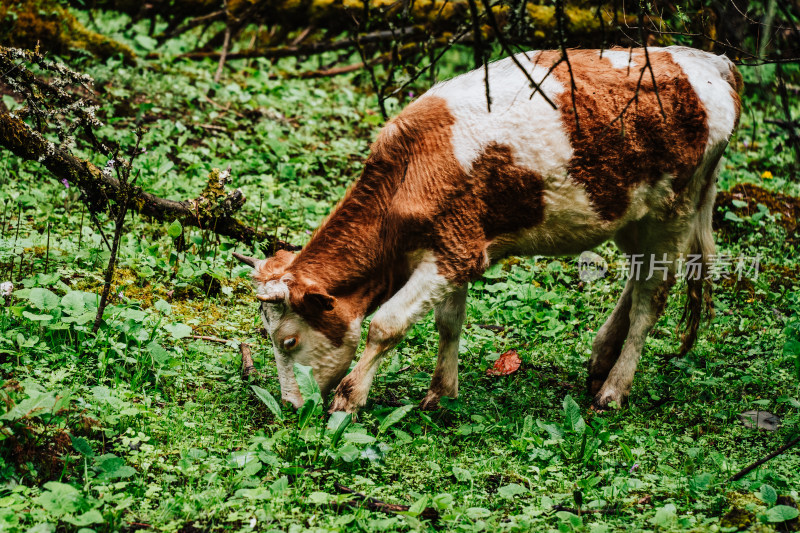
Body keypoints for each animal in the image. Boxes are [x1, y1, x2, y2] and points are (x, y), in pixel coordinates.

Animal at [234, 46, 740, 412]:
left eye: (288, 340)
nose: (289, 405)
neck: (412, 167)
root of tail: (709, 62)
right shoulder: (452, 250)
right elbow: (448, 322)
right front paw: (442, 393)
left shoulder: (454, 253)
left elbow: (385, 325)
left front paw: (350, 398)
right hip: (632, 213)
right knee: (638, 279)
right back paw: (600, 357)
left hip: (675, 210)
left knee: (651, 300)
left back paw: (613, 390)